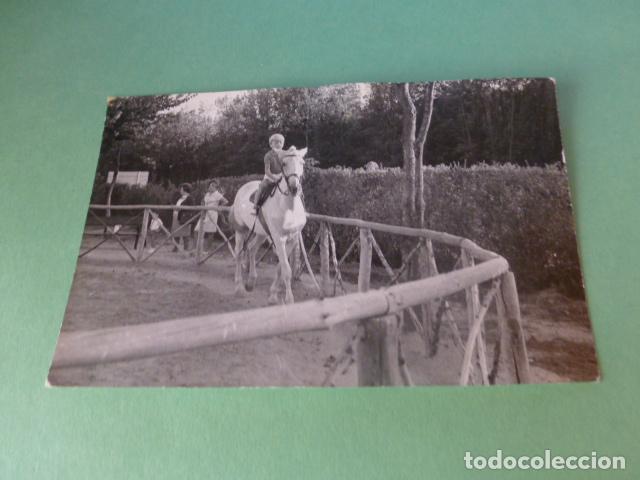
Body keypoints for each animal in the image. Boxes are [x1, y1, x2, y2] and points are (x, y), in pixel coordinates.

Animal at [229, 146, 307, 304]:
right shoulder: (278, 238)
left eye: (302, 163)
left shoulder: (292, 239)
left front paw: (273, 295)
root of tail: (242, 188)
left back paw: (251, 282)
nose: (294, 188)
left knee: (252, 249)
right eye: (284, 164)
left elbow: (280, 268)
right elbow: (287, 270)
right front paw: (289, 299)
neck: (289, 207)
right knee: (239, 254)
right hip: (241, 230)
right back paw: (239, 288)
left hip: (261, 234)